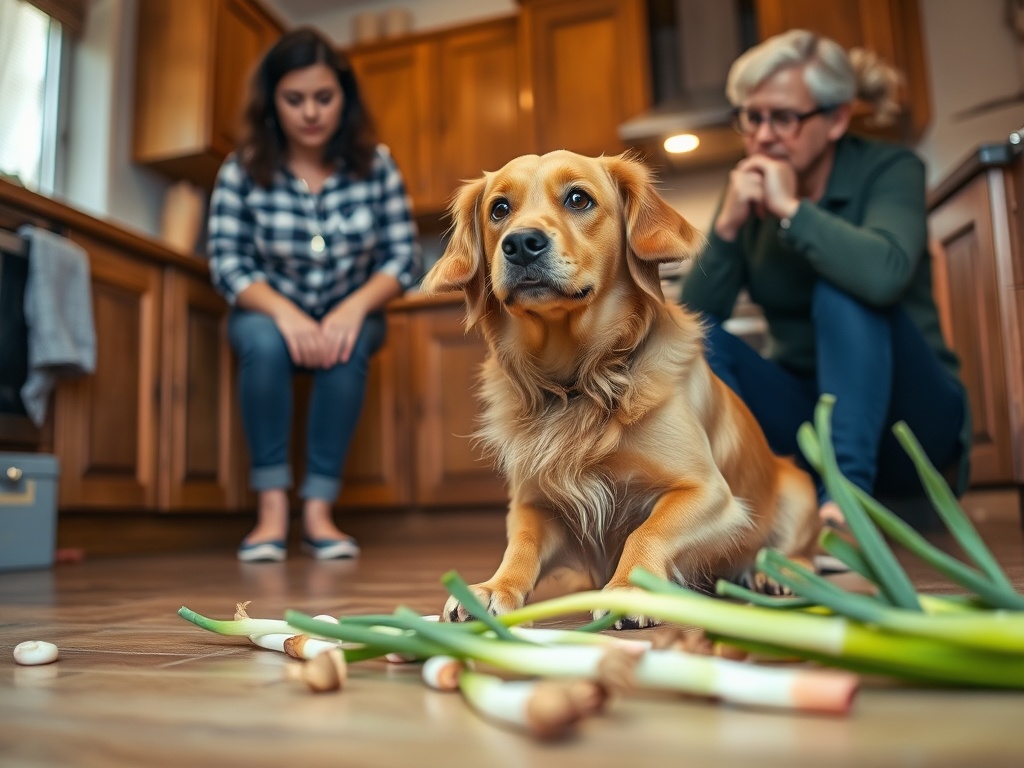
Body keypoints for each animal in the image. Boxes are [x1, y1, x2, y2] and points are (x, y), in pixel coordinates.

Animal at [419, 151, 819, 630]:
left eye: (578, 198)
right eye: (499, 209)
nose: (520, 244)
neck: (579, 382)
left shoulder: (708, 493)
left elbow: (648, 531)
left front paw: (627, 589)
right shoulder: (536, 505)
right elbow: (520, 547)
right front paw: (492, 588)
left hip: (798, 492)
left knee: (796, 554)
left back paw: (779, 576)